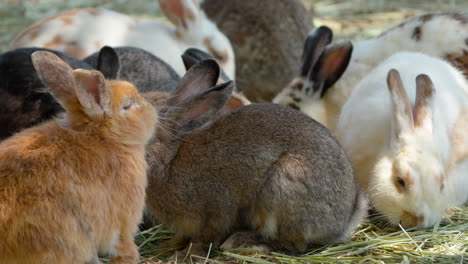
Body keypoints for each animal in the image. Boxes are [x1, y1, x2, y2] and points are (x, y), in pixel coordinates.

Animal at [0, 50, 157, 262]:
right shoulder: (122, 221)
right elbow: (123, 245)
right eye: (127, 106)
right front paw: (131, 257)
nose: (153, 113)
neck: (102, 137)